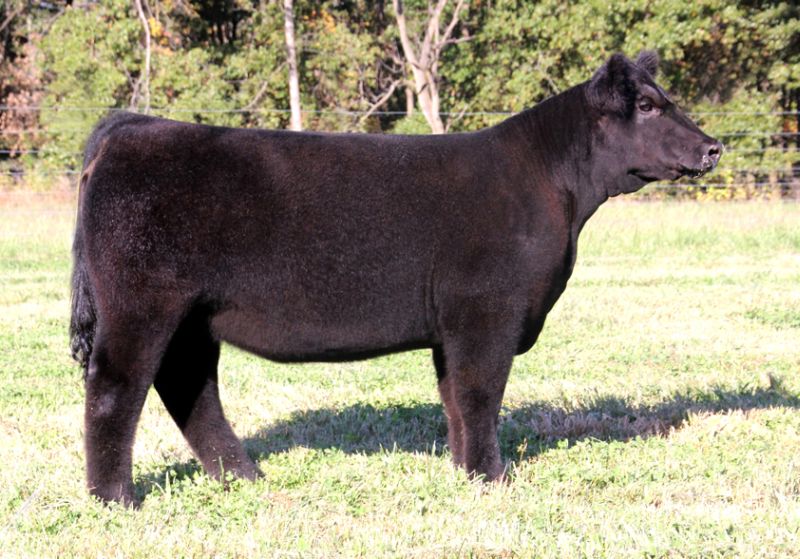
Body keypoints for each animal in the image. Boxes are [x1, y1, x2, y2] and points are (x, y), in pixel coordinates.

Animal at [70, 50, 722, 505]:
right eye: (646, 106)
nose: (714, 147)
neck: (553, 187)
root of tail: (134, 127)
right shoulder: (487, 311)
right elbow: (481, 392)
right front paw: (493, 477)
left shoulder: (453, 325)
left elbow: (455, 397)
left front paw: (465, 472)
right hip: (142, 304)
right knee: (115, 388)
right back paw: (116, 499)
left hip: (192, 317)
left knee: (188, 387)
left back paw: (245, 476)